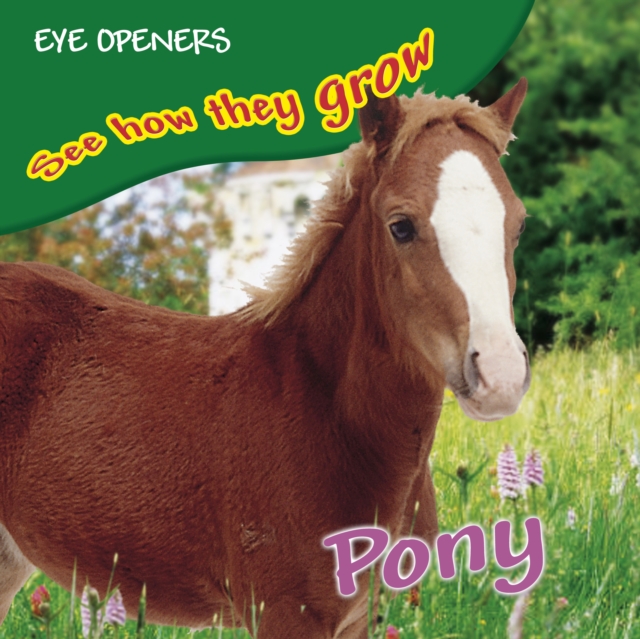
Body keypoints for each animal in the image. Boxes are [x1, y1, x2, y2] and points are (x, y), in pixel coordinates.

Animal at [0, 79, 530, 638]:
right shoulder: (283, 614)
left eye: (517, 225)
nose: (499, 375)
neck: (323, 411)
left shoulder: (363, 615)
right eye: (400, 226)